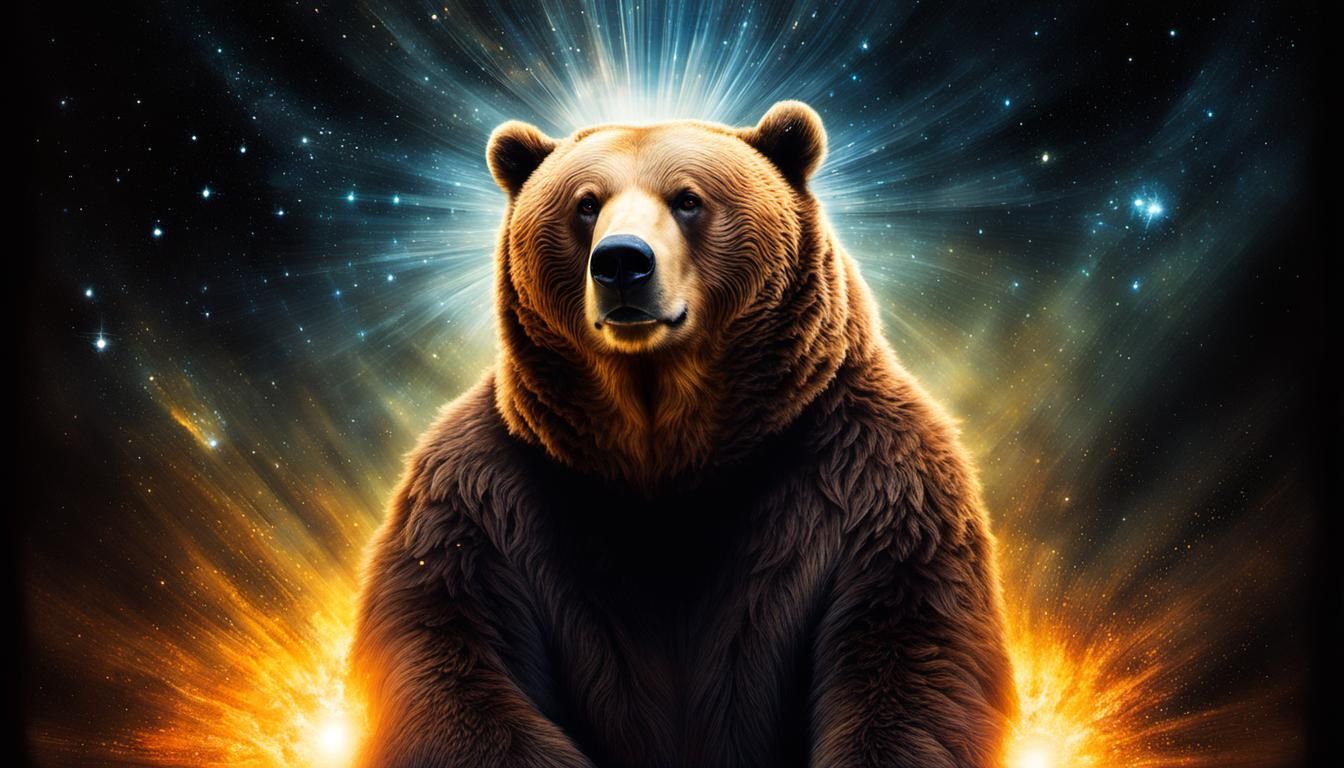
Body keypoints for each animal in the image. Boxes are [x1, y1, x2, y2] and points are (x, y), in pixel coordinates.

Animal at [348, 100, 1019, 767]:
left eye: (688, 199)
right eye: (585, 203)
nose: (621, 260)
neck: (664, 449)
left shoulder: (869, 480)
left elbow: (907, 654)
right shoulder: (482, 496)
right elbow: (453, 654)